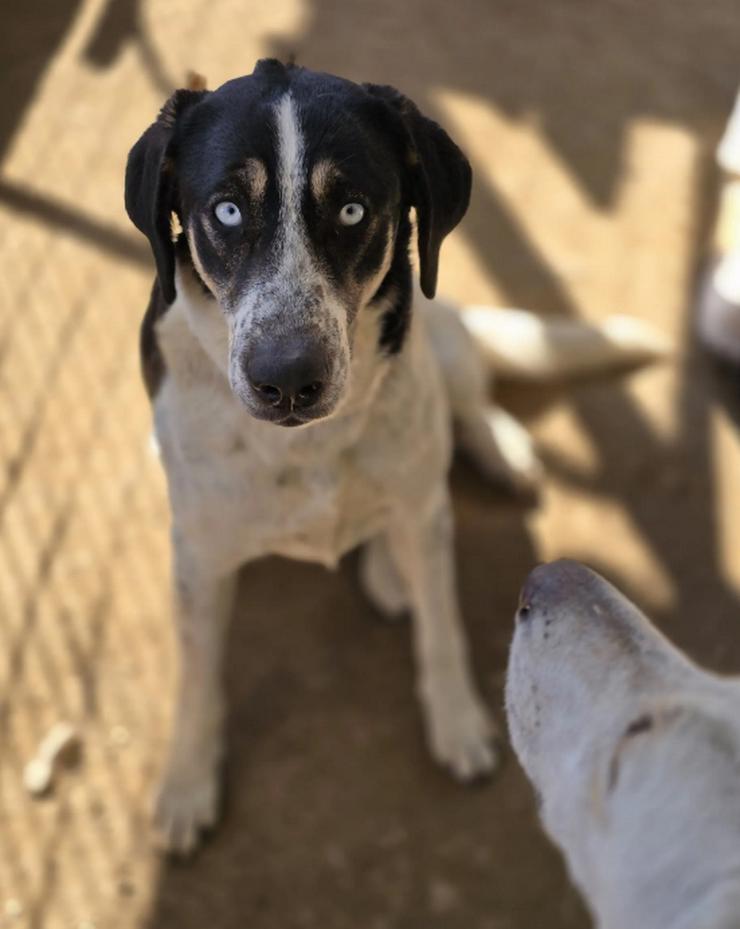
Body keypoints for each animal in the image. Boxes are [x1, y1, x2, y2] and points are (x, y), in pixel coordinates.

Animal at [124, 59, 668, 856]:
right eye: (225, 211)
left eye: (352, 211)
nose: (288, 379)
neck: (307, 440)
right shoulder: (198, 555)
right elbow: (199, 677)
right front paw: (187, 781)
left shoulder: (424, 513)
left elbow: (441, 627)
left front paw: (457, 722)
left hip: (442, 341)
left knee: (466, 398)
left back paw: (482, 466)